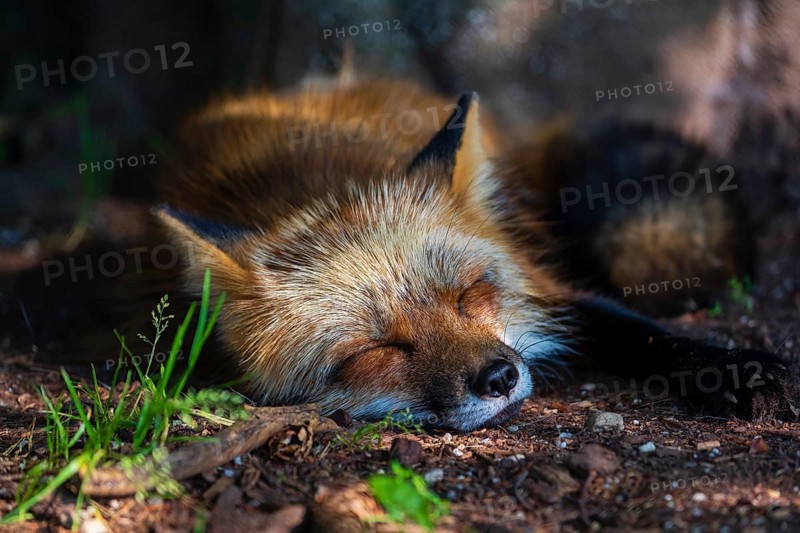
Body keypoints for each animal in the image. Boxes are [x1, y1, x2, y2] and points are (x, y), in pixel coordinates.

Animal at [107, 77, 790, 431]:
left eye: (468, 294)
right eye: (377, 350)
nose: (500, 378)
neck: (315, 185)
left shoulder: (547, 286)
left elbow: (639, 330)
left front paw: (727, 367)